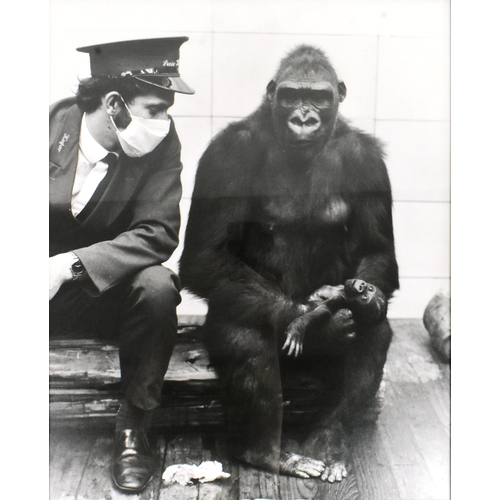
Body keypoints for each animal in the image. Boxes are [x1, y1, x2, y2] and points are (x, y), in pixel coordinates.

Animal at [180, 45, 398, 482]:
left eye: (319, 97)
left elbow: (377, 249)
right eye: (291, 95)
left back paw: (329, 438)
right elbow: (205, 254)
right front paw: (315, 322)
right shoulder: (226, 157)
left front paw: (363, 301)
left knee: (373, 332)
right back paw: (265, 451)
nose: (304, 117)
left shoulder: (368, 161)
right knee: (245, 329)